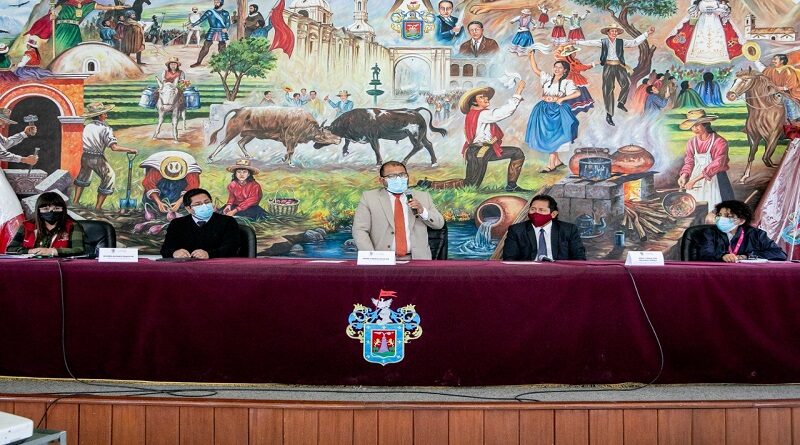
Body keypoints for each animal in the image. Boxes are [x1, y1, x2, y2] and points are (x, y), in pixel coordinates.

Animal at [207, 107, 341, 165]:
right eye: (327, 135)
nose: (339, 139)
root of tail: (240, 110)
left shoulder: (291, 140)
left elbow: (290, 151)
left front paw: (285, 160)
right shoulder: (290, 138)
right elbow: (290, 151)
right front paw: (289, 162)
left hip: (250, 134)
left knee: (241, 143)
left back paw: (249, 156)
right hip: (233, 132)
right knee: (223, 143)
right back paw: (210, 158)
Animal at [314, 107, 447, 166]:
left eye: (322, 135)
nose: (314, 146)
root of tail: (415, 111)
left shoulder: (372, 137)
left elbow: (376, 149)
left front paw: (379, 162)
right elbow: (346, 142)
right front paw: (345, 151)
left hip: (413, 135)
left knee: (418, 146)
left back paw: (404, 161)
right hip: (422, 135)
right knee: (428, 144)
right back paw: (434, 162)